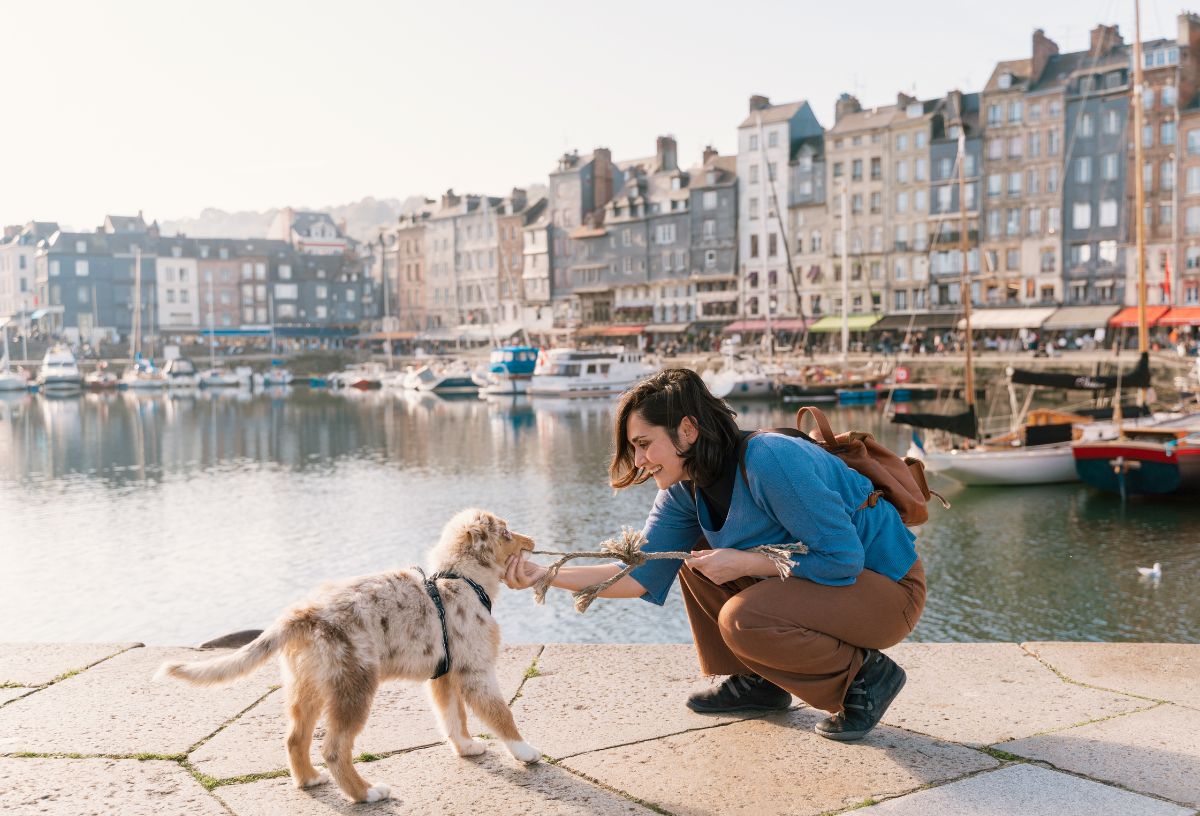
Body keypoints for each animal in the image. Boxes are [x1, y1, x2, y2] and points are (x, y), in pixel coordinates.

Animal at [158, 508, 540, 801]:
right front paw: (525, 752)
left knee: (295, 737)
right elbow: (500, 714)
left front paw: (466, 747)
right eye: (506, 533)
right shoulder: (476, 670)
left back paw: (310, 780)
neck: (460, 580)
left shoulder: (444, 676)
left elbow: (453, 717)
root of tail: (301, 613)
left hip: (308, 686)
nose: (533, 542)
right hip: (354, 687)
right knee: (334, 749)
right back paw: (366, 793)